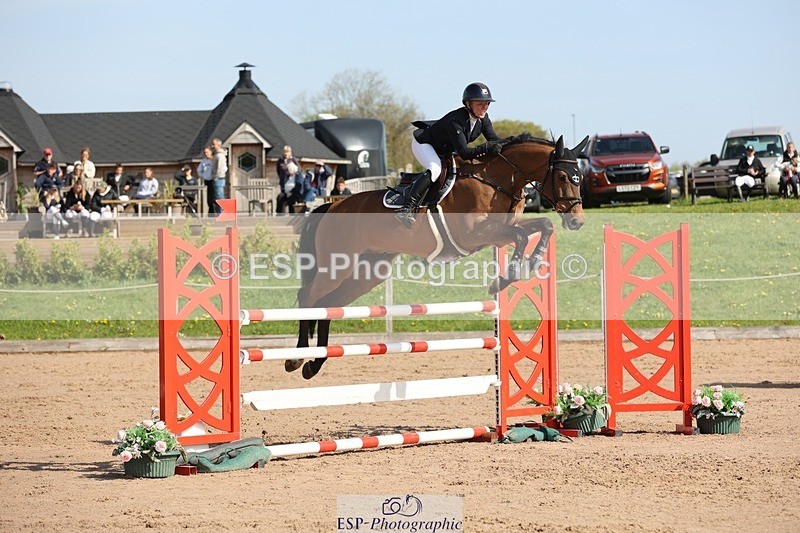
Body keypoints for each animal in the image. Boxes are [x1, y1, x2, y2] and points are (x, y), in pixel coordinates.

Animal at [291, 133, 589, 379]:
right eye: (562, 177)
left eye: (580, 178)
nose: (577, 222)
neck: (495, 179)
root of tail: (332, 206)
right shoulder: (474, 234)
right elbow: (521, 236)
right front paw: (504, 279)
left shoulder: (498, 231)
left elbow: (542, 226)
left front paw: (533, 262)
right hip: (339, 264)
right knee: (308, 297)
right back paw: (296, 359)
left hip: (367, 273)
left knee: (327, 305)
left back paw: (313, 364)